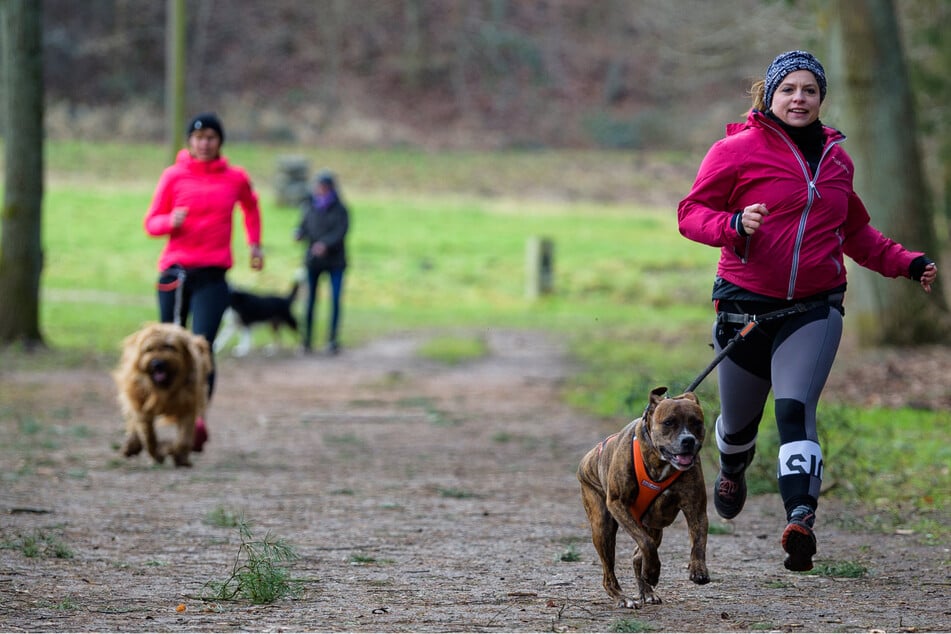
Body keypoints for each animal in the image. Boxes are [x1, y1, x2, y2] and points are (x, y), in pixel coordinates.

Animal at [114, 324, 212, 466]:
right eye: (149, 349)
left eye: (170, 347)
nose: (157, 364)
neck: (164, 389)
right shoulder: (142, 407)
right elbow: (149, 436)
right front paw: (157, 454)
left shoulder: (188, 407)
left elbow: (183, 438)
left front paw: (179, 457)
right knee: (133, 420)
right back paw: (132, 445)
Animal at [576, 386, 712, 608]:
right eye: (668, 422)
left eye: (696, 422)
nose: (688, 440)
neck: (661, 462)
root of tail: (588, 456)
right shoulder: (618, 503)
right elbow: (646, 543)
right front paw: (652, 572)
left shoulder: (696, 507)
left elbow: (698, 540)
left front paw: (698, 570)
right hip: (603, 526)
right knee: (610, 572)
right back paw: (624, 597)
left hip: (654, 526)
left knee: (638, 554)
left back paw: (647, 590)